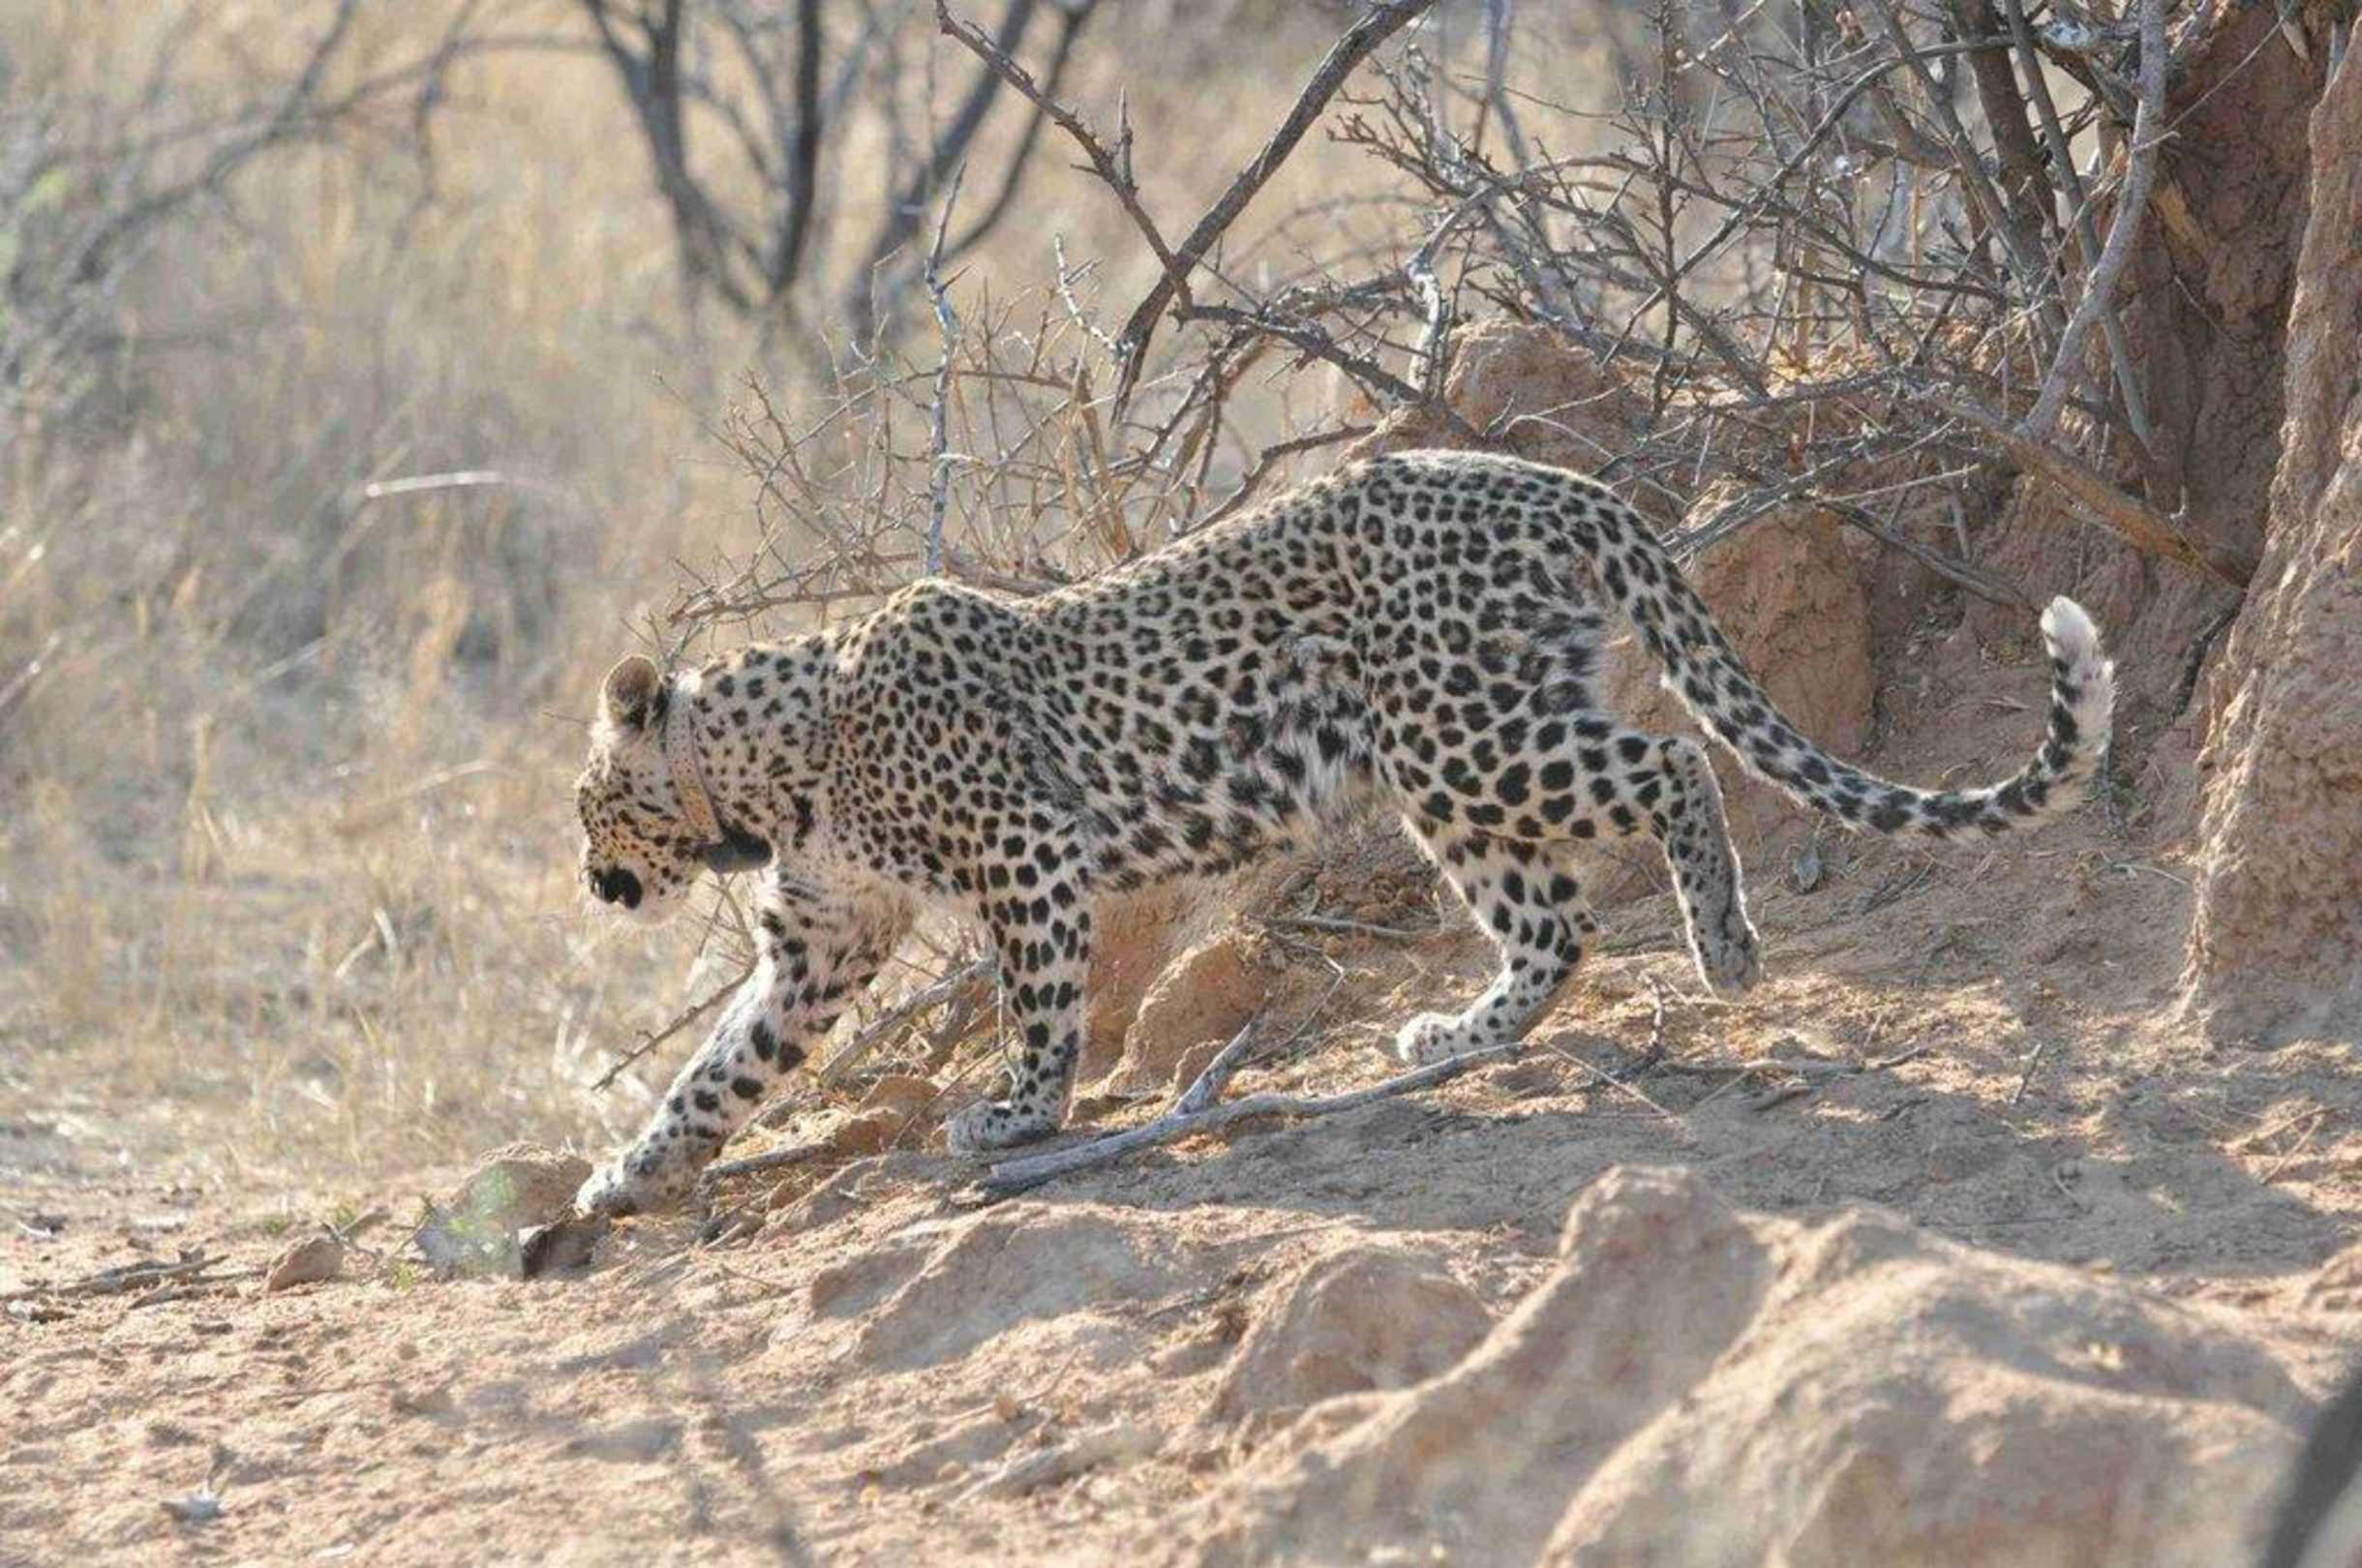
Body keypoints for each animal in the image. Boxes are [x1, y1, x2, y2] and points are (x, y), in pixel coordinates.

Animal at [570, 450, 2114, 1217]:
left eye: (590, 805)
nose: (592, 885)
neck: (775, 771)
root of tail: (1559, 482)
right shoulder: (824, 936)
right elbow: (720, 1070)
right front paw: (631, 1175)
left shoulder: (1028, 857)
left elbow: (1041, 1007)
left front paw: (1017, 1117)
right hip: (1450, 765)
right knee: (1554, 925)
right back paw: (1451, 1037)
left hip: (1461, 733)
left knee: (1674, 766)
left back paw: (1724, 947)